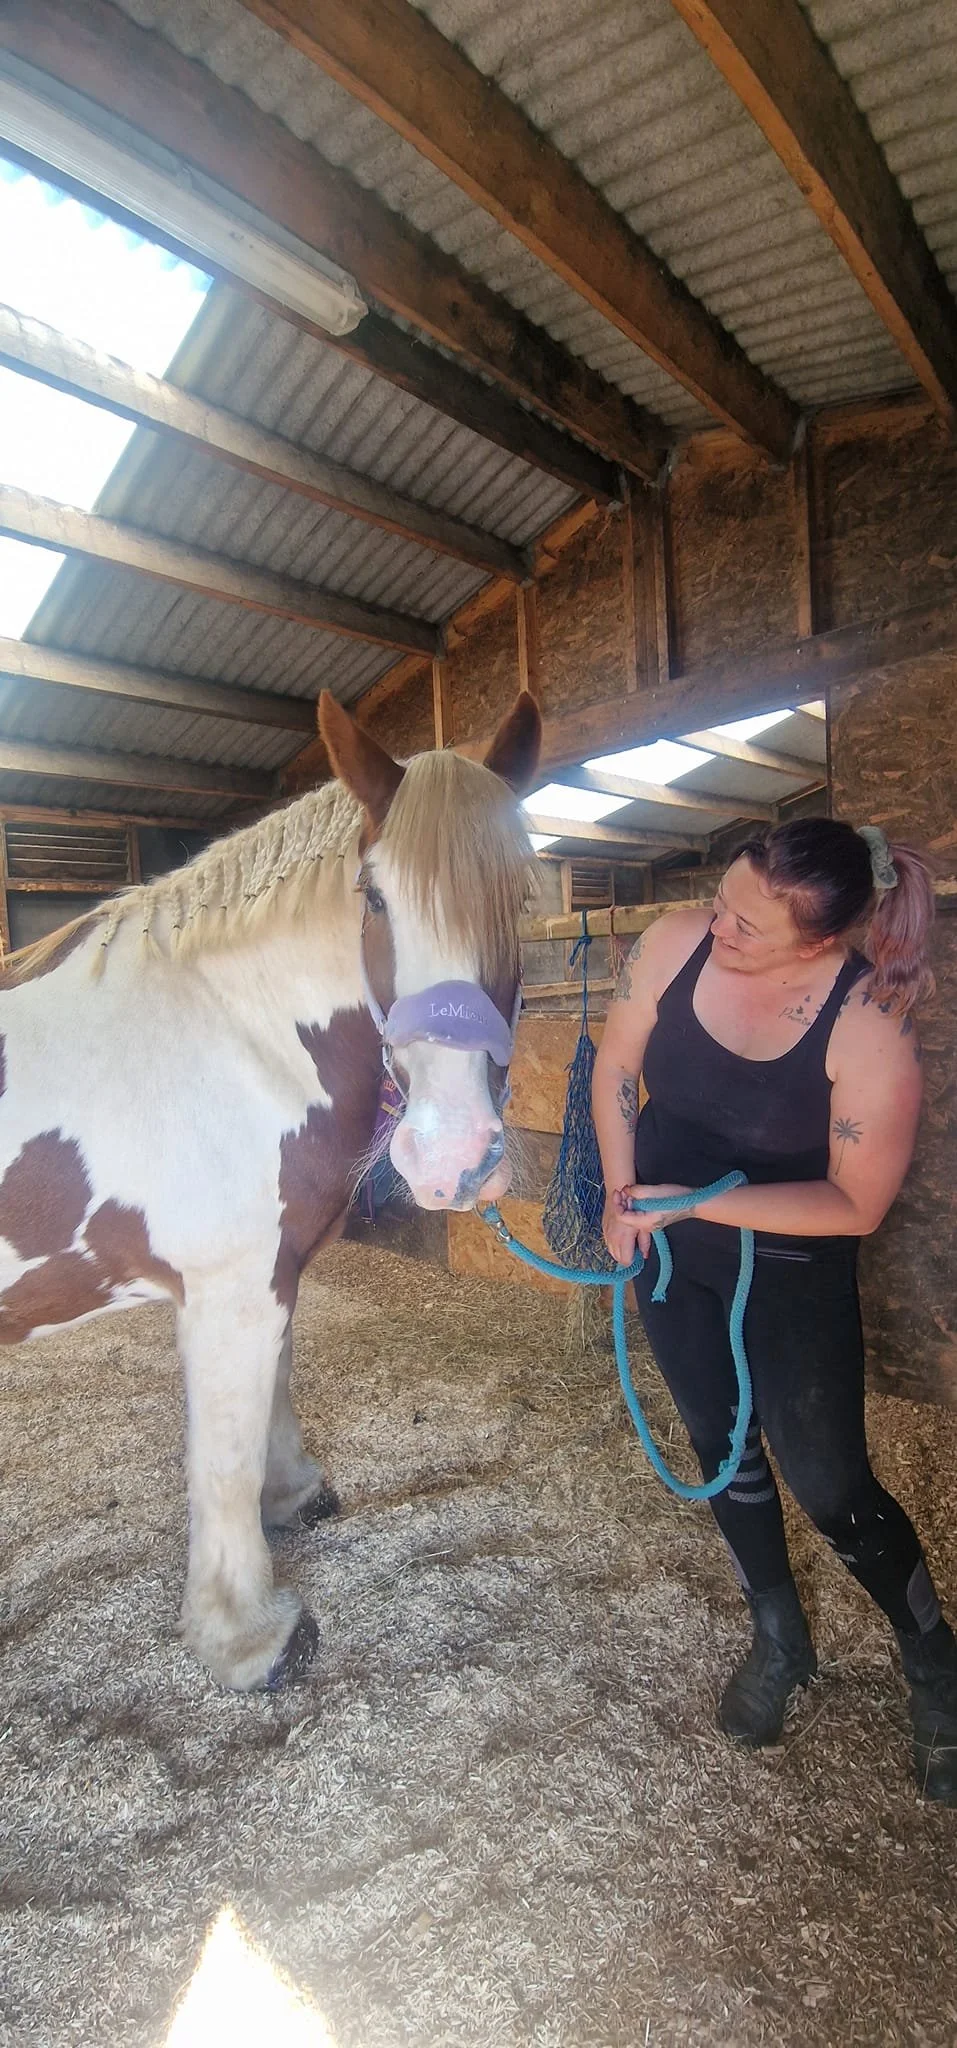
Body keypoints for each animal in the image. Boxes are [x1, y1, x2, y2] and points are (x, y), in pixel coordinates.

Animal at [0, 688, 542, 1690]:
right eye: (374, 898)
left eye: (520, 897)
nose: (450, 1155)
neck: (230, 1034)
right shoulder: (231, 1291)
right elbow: (223, 1457)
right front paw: (249, 1639)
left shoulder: (277, 1273)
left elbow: (269, 1411)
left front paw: (293, 1496)